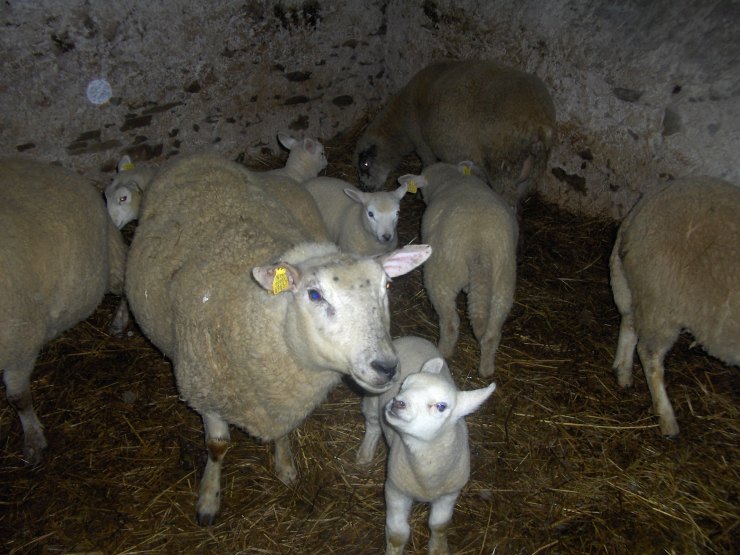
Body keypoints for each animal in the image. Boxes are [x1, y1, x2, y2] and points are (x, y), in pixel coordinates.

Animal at [124, 151, 432, 525]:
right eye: (314, 295)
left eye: (386, 285)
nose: (386, 367)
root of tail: (196, 155)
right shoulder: (203, 389)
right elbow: (217, 447)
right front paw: (209, 498)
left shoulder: (281, 400)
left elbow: (284, 432)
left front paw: (285, 468)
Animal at [355, 59, 556, 211]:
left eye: (364, 164)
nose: (365, 188)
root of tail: (539, 122)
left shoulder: (423, 145)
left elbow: (427, 166)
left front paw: (420, 194)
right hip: (532, 172)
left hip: (502, 164)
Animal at [356, 336, 496, 555]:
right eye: (403, 385)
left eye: (441, 406)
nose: (397, 403)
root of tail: (412, 337)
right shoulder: (396, 491)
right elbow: (397, 534)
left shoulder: (449, 494)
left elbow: (439, 525)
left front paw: (438, 548)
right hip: (372, 399)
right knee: (372, 425)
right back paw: (365, 454)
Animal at [398, 161, 518, 378]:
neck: (451, 178)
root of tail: (479, 247)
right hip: (504, 280)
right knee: (491, 333)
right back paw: (486, 369)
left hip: (441, 276)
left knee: (451, 324)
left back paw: (443, 352)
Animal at [610, 176, 740, 437]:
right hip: (662, 298)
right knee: (649, 354)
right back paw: (667, 420)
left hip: (640, 287)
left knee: (630, 321)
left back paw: (624, 373)